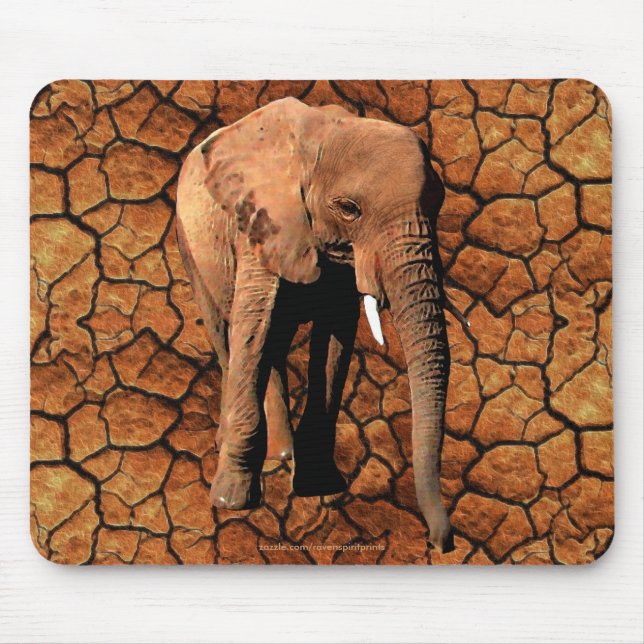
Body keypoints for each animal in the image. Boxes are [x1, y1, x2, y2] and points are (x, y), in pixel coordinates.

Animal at [176, 97, 454, 552]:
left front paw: (320, 485)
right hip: (189, 240)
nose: (440, 542)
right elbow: (255, 324)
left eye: (437, 204)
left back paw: (282, 455)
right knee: (227, 331)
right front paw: (231, 501)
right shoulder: (261, 222)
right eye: (349, 209)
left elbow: (335, 336)